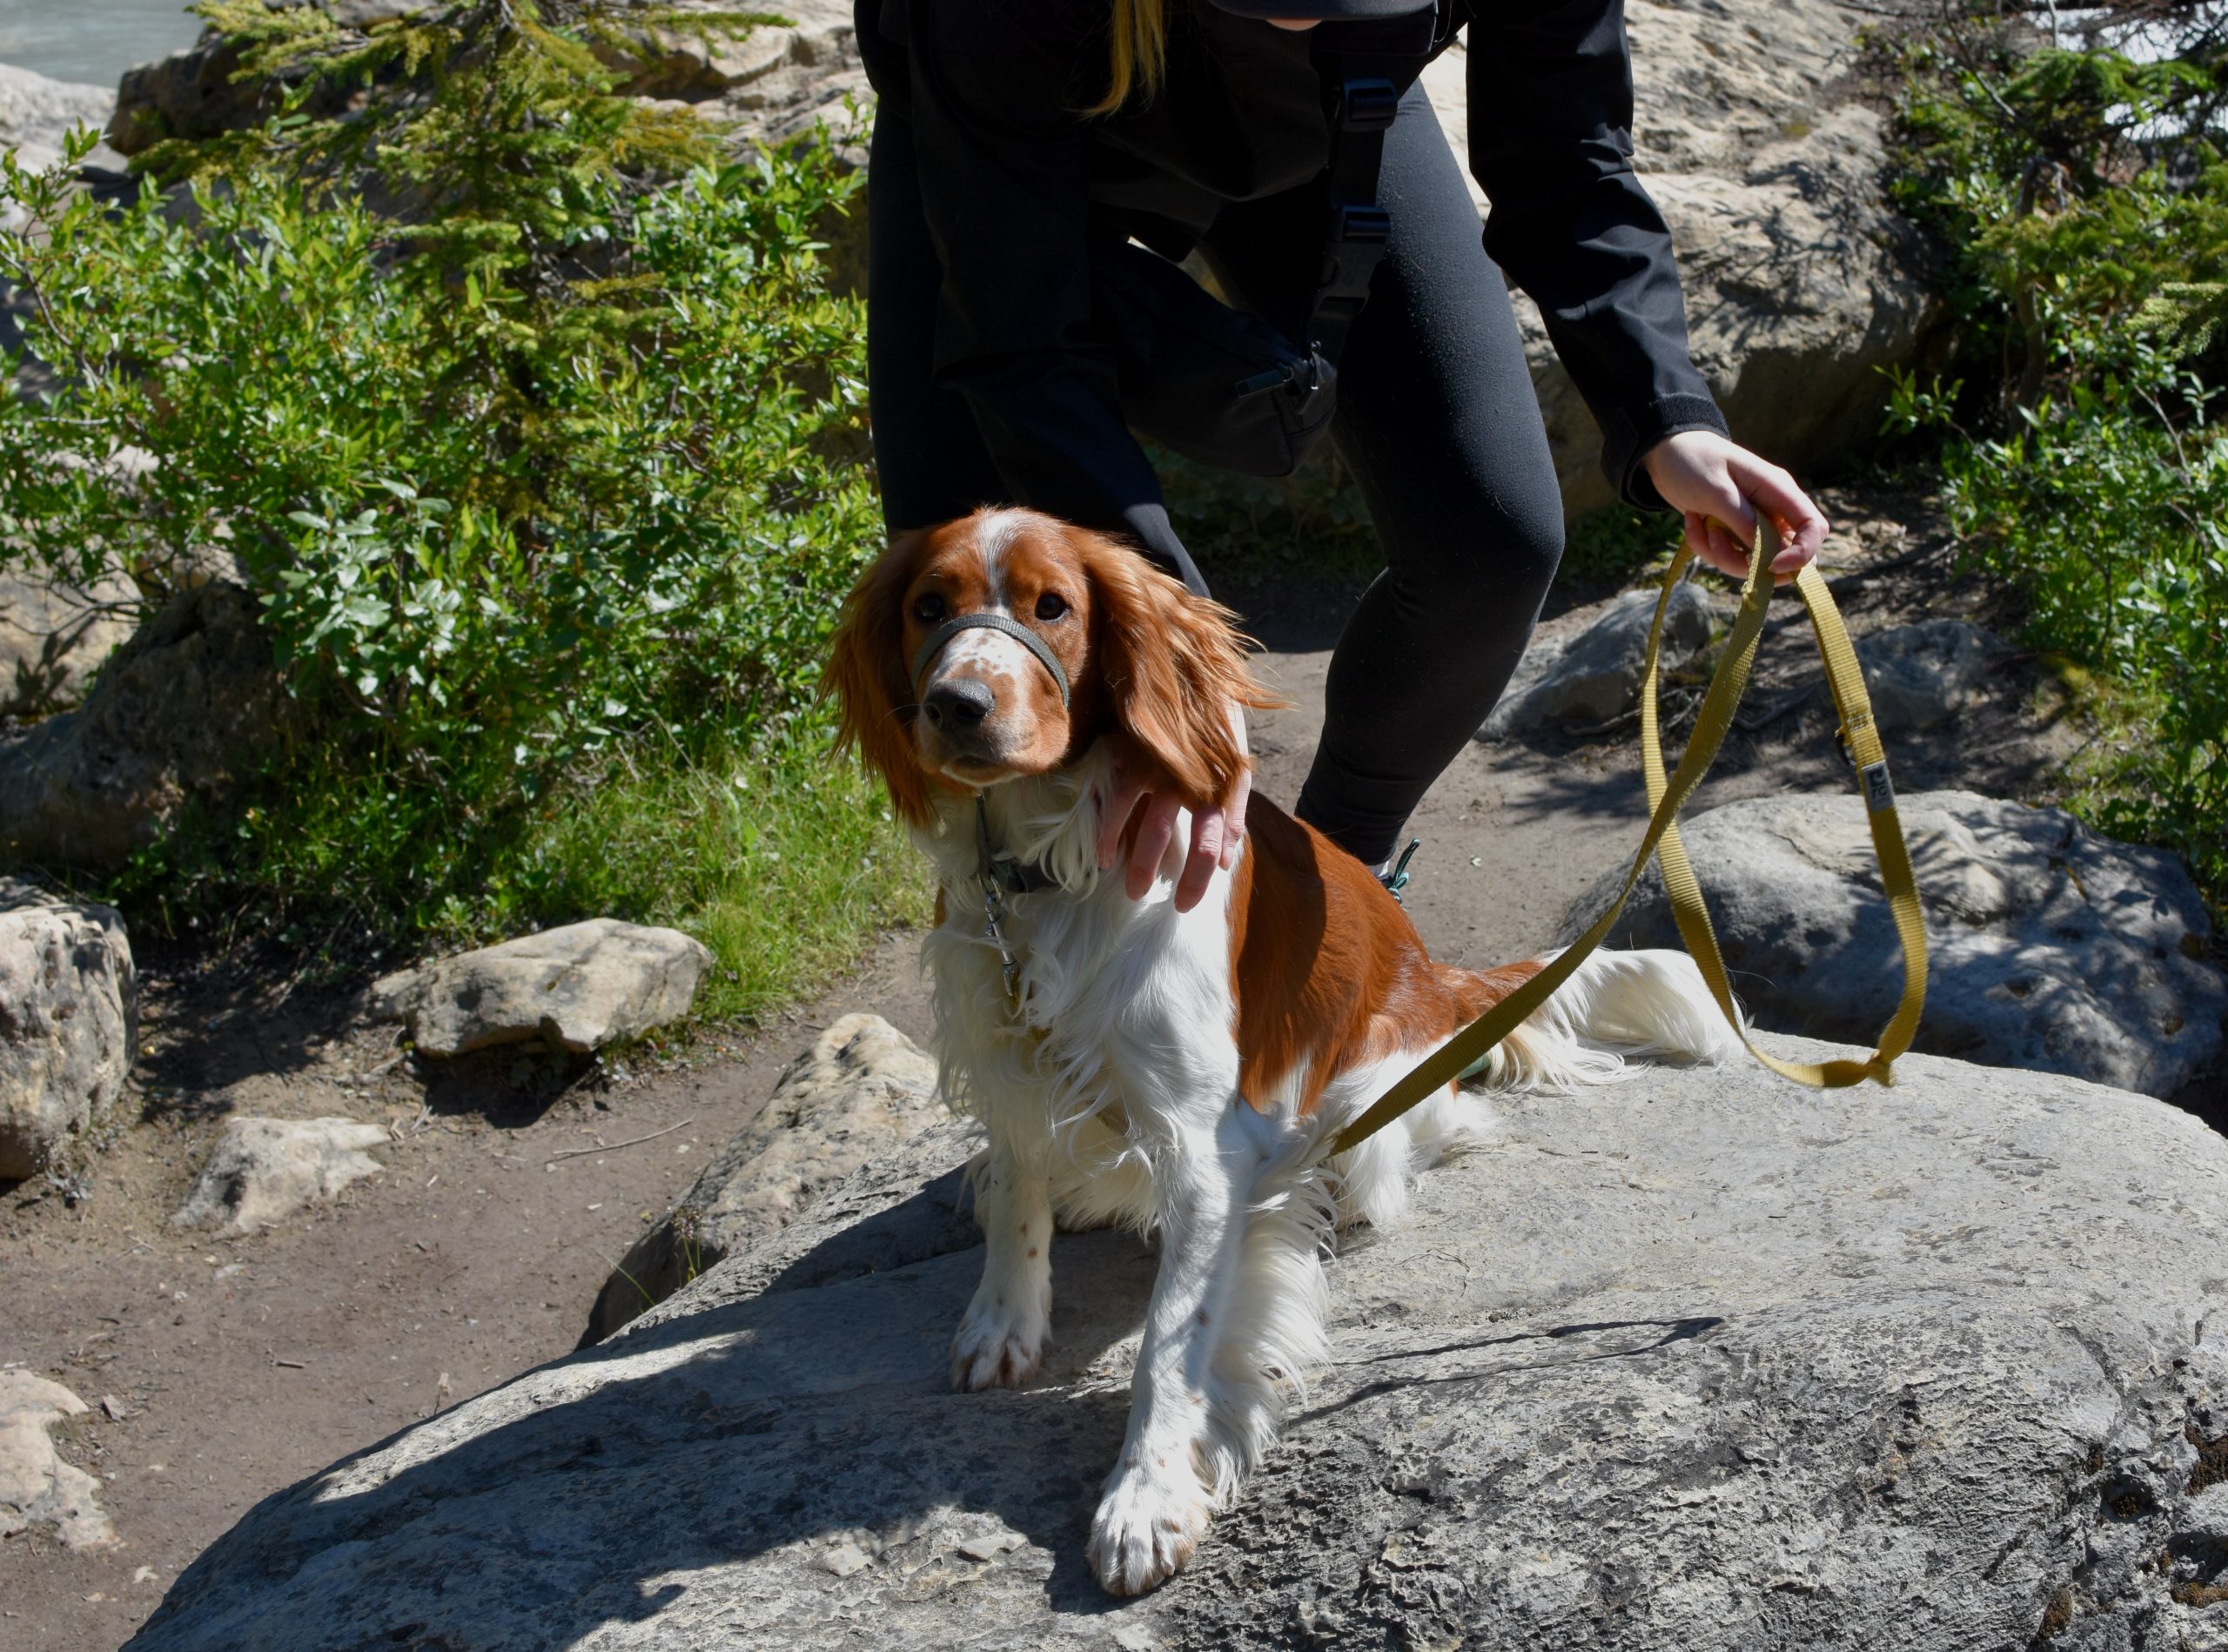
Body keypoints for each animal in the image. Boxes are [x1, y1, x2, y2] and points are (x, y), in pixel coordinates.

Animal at [829, 508, 1728, 1587]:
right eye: (929, 606)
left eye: (1052, 606)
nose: (957, 705)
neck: (1048, 869)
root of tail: (1439, 976)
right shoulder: (1002, 1044)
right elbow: (1016, 1192)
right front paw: (1002, 1320)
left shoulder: (1206, 1145)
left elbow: (1171, 1341)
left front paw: (1147, 1496)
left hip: (1366, 1094)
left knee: (1436, 1131)